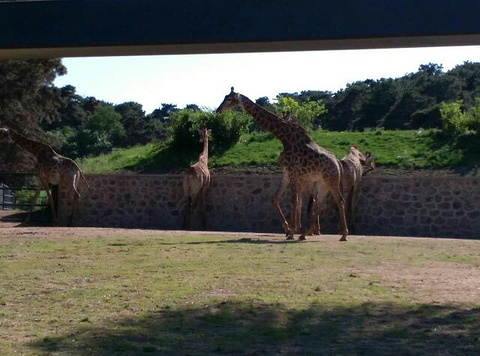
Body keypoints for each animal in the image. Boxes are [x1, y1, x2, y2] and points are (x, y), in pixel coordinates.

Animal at [218, 87, 348, 241]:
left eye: (229, 99)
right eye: (224, 97)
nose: (218, 110)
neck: (284, 137)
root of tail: (338, 163)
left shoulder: (293, 172)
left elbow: (294, 201)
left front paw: (291, 232)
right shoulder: (286, 172)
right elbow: (275, 199)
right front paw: (287, 229)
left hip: (331, 180)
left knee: (339, 200)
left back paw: (343, 235)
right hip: (322, 183)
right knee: (320, 204)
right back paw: (305, 234)